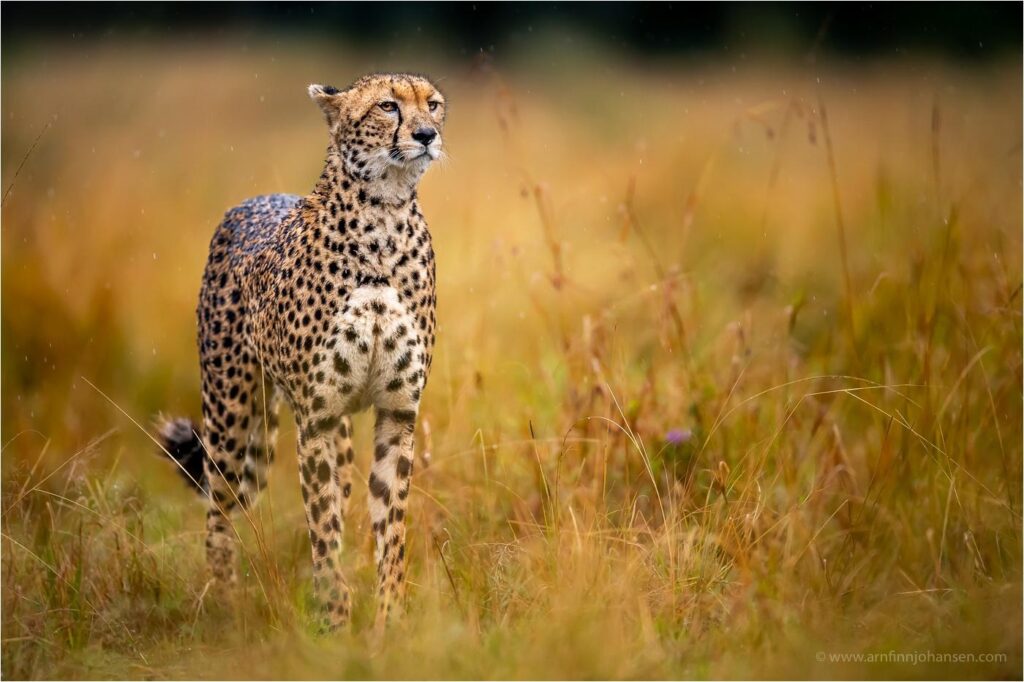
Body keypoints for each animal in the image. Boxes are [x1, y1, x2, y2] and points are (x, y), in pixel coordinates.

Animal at [155, 72, 445, 632]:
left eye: (434, 104)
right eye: (388, 106)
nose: (426, 134)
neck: (384, 213)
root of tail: (256, 198)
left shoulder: (396, 412)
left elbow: (390, 526)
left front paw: (389, 621)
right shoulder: (316, 417)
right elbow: (322, 527)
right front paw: (333, 619)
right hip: (230, 413)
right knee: (219, 509)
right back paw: (225, 605)